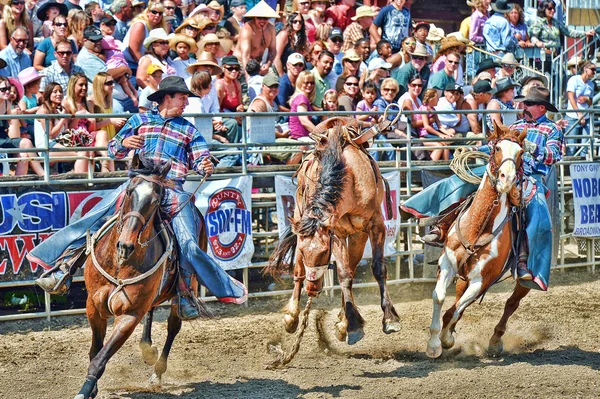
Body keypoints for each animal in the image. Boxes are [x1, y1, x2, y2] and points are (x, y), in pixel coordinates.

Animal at [73, 157, 205, 399]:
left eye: (155, 200)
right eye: (128, 192)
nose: (125, 245)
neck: (120, 263)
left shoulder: (130, 314)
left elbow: (100, 359)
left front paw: (85, 391)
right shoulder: (93, 306)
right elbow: (94, 351)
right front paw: (92, 388)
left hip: (180, 293)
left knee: (173, 325)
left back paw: (157, 372)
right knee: (151, 311)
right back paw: (147, 348)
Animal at [266, 118, 398, 346]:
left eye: (323, 252)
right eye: (306, 253)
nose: (311, 289)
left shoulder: (375, 225)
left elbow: (377, 268)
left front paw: (388, 318)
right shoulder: (335, 232)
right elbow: (343, 274)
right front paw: (352, 324)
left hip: (357, 236)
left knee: (352, 268)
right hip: (303, 221)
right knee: (300, 272)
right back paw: (293, 316)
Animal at [426, 122, 528, 360]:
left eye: (520, 153)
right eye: (497, 148)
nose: (507, 179)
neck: (477, 228)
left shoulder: (482, 280)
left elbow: (455, 310)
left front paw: (445, 340)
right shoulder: (447, 264)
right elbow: (440, 298)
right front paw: (434, 344)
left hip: (524, 281)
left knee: (511, 303)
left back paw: (494, 342)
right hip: (463, 277)